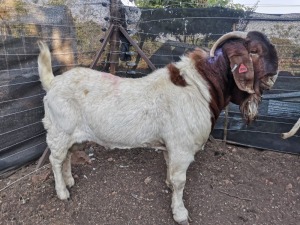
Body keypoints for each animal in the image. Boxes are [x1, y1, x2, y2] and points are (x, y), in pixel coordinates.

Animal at [37, 30, 278, 225]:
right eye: (254, 51)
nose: (274, 73)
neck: (201, 87)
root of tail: (52, 83)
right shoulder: (182, 148)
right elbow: (180, 181)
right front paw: (180, 213)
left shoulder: (171, 147)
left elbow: (171, 172)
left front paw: (169, 187)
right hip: (59, 131)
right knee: (55, 160)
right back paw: (62, 192)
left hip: (72, 135)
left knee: (68, 156)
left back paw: (69, 181)